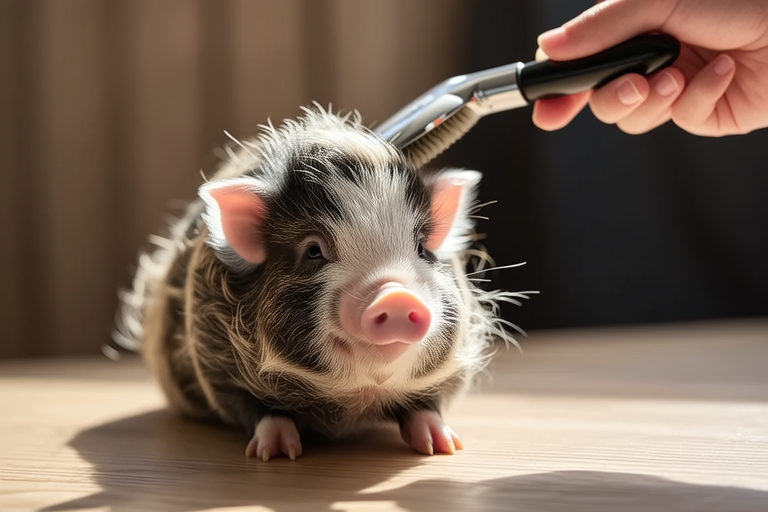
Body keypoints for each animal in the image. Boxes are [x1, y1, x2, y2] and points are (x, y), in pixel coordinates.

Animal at [115, 107, 525, 461]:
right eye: (313, 250)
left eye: (422, 247)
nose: (395, 295)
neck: (354, 404)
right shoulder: (215, 367)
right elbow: (258, 410)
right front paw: (277, 453)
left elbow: (426, 405)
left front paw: (445, 446)